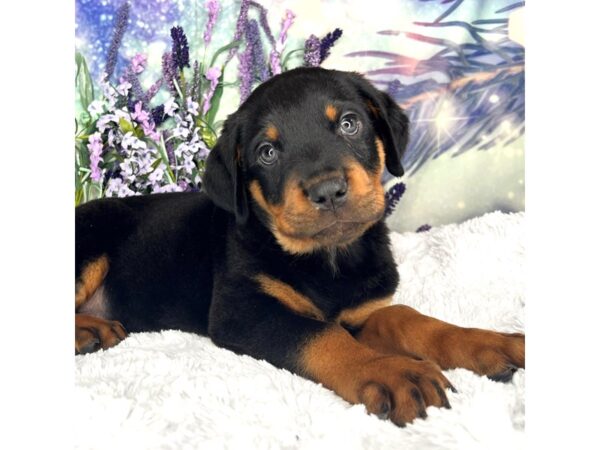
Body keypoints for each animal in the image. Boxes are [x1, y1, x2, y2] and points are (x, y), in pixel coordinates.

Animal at [76, 67, 524, 426]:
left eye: (349, 124)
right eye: (267, 152)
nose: (327, 191)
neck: (331, 258)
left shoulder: (361, 311)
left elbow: (407, 318)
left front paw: (490, 343)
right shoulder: (244, 312)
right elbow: (323, 336)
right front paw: (392, 371)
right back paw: (89, 331)